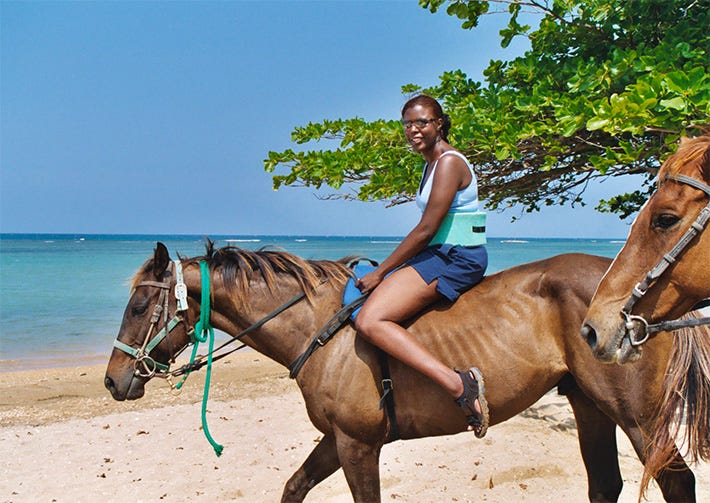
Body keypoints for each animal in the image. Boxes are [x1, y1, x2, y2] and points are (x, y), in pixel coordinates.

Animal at [105, 243, 700, 500]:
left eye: (138, 305)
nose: (113, 380)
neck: (320, 330)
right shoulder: (338, 440)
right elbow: (293, 488)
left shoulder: (357, 445)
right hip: (589, 404)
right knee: (606, 483)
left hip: (637, 417)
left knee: (676, 480)